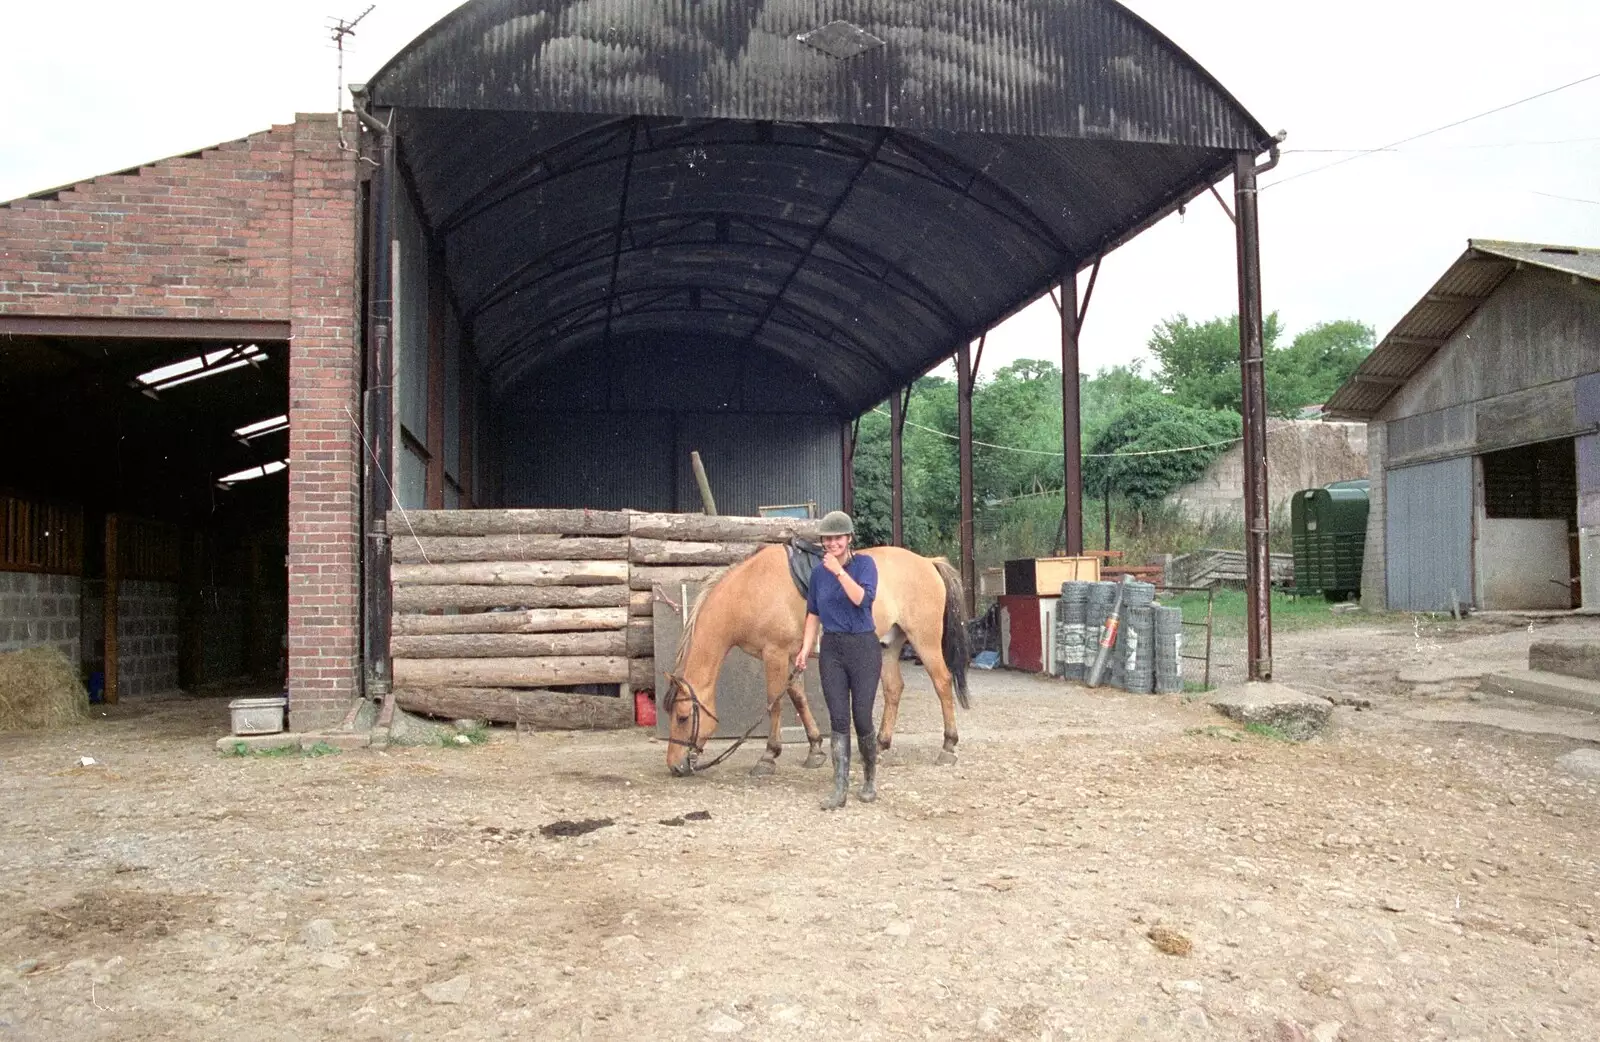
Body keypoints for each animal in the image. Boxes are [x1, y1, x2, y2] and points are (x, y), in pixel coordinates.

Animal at [659, 547, 966, 774]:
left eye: (683, 717)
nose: (674, 765)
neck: (750, 590)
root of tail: (928, 562)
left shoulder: (774, 653)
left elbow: (774, 702)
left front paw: (769, 756)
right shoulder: (790, 656)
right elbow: (797, 698)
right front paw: (815, 749)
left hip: (924, 640)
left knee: (942, 683)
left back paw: (948, 746)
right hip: (889, 645)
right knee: (893, 689)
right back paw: (879, 746)